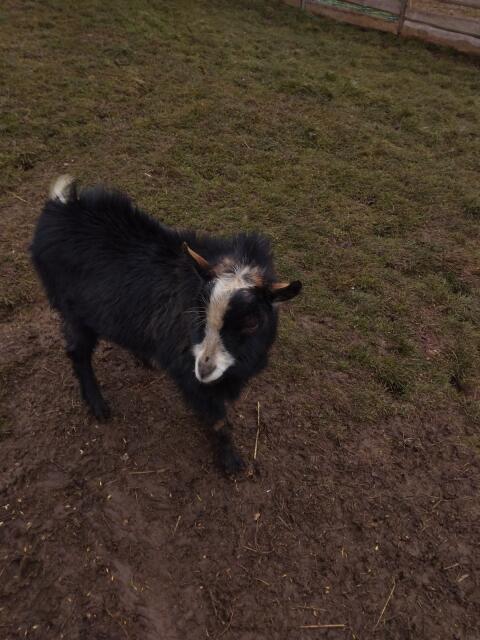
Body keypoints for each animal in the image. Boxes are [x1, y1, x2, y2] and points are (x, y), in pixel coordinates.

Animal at [30, 176, 302, 473]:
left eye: (252, 322)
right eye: (199, 312)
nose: (204, 369)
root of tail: (59, 205)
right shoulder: (190, 375)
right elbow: (217, 419)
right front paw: (230, 461)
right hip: (74, 311)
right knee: (77, 352)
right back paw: (98, 405)